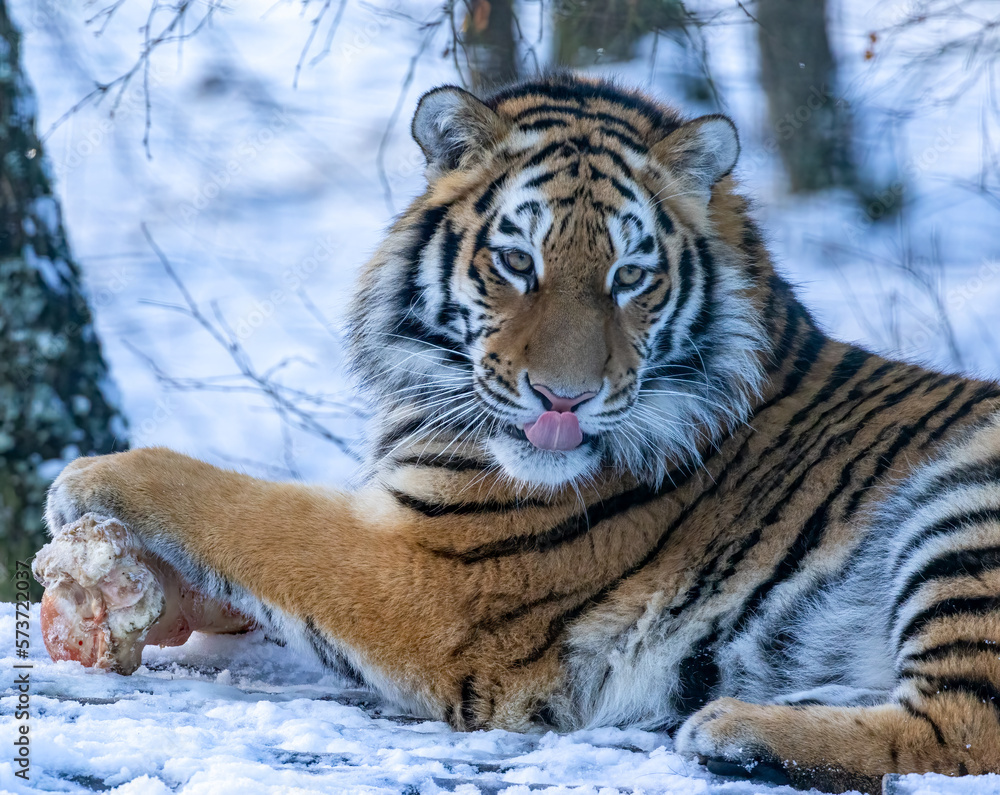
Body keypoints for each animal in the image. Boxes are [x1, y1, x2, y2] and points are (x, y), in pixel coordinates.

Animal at [36, 73, 1000, 794]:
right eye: (515, 262)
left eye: (631, 275)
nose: (563, 399)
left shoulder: (434, 575)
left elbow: (249, 511)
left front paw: (89, 476)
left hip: (964, 504)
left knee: (960, 733)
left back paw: (731, 727)